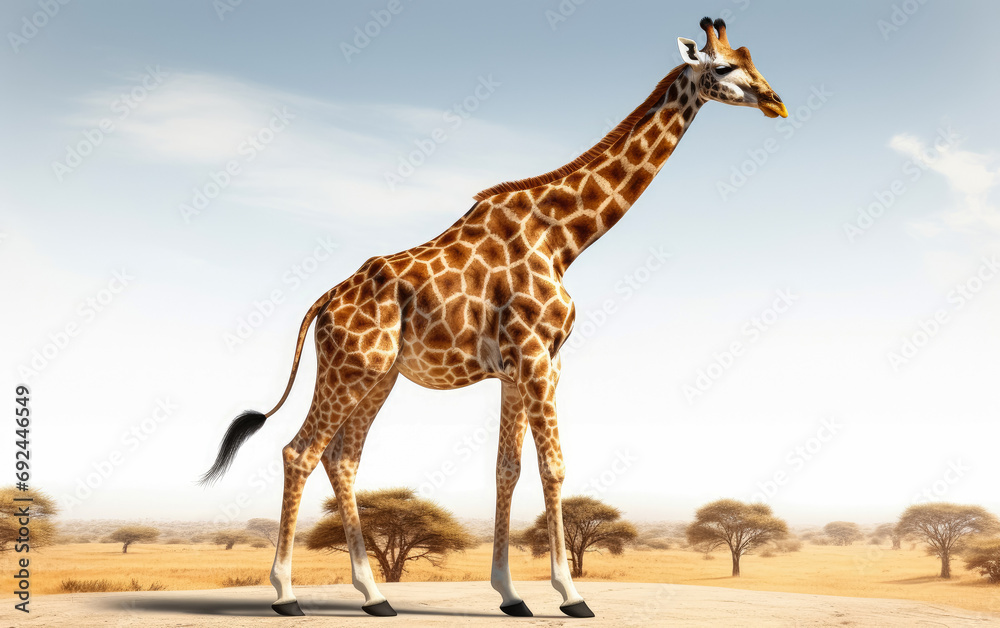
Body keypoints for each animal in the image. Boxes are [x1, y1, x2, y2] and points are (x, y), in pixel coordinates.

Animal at [201, 17, 786, 618]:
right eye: (724, 67)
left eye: (752, 59)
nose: (776, 102)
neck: (563, 237)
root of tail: (322, 303)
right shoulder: (536, 358)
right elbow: (554, 467)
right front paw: (571, 594)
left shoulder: (521, 368)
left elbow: (509, 469)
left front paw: (510, 593)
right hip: (351, 369)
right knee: (300, 451)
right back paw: (287, 594)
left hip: (377, 375)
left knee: (341, 459)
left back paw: (374, 595)